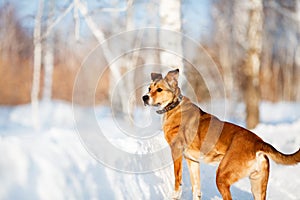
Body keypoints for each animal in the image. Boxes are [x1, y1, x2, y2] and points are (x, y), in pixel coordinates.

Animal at [143, 69, 300, 200]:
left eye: (159, 89)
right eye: (149, 88)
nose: (144, 97)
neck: (174, 106)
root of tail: (258, 143)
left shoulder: (176, 151)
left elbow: (177, 178)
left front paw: (175, 194)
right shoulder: (192, 161)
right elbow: (196, 189)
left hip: (222, 177)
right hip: (257, 187)